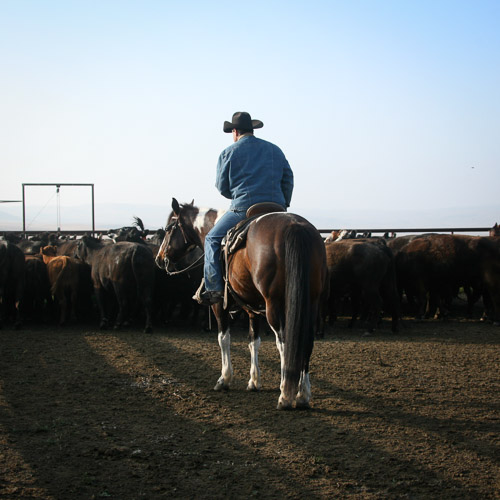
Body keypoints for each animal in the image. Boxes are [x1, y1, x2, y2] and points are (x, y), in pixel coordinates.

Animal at [156, 199, 328, 410]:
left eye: (169, 228)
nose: (159, 258)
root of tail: (295, 226)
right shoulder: (252, 308)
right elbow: (253, 341)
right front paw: (254, 381)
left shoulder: (219, 305)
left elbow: (223, 338)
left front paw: (224, 379)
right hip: (310, 302)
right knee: (306, 341)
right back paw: (303, 395)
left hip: (275, 305)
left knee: (284, 343)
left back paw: (286, 395)